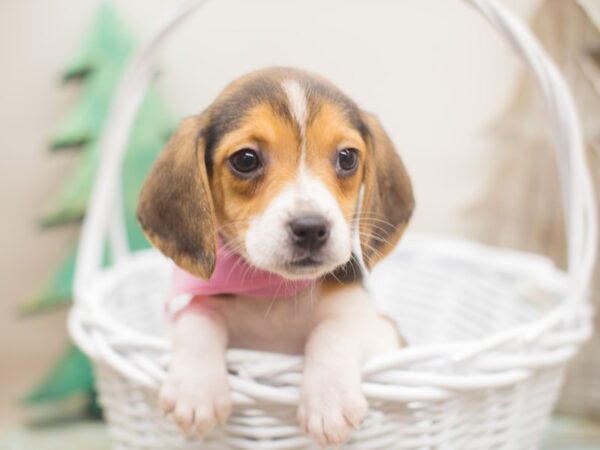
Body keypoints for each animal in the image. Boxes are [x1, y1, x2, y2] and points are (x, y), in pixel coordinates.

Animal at [136, 66, 412, 446]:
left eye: (347, 157)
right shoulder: (200, 308)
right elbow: (197, 319)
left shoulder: (386, 332)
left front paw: (329, 401)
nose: (310, 228)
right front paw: (195, 389)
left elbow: (332, 329)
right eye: (245, 160)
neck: (275, 294)